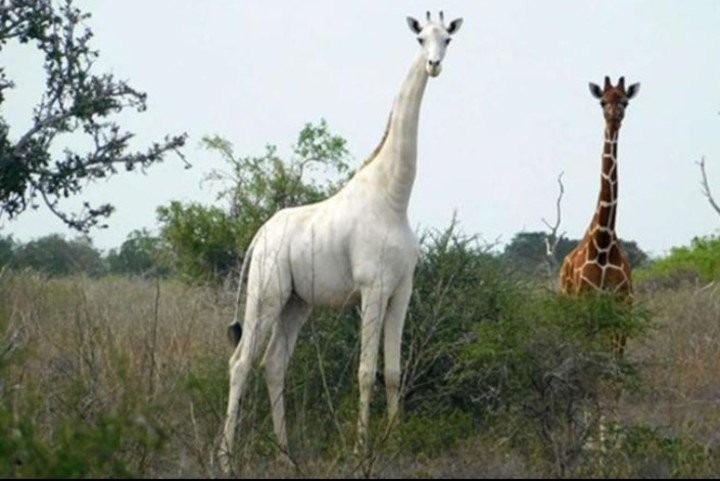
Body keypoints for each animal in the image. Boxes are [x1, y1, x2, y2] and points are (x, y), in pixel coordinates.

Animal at [218, 12, 463, 473]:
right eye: (420, 38)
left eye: (448, 39)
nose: (434, 65)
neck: (394, 197)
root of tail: (259, 236)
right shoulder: (372, 288)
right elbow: (366, 371)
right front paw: (361, 450)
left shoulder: (402, 290)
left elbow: (393, 371)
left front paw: (394, 444)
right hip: (266, 293)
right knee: (240, 362)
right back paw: (225, 459)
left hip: (297, 303)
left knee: (273, 363)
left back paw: (287, 454)